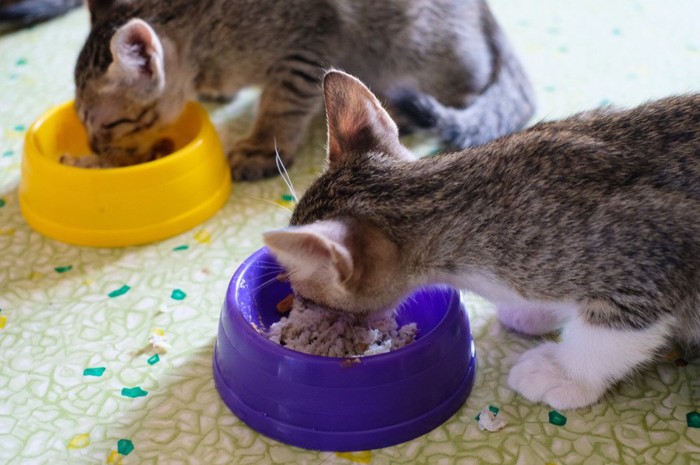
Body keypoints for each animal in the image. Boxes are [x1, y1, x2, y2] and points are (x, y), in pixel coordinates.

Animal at [71, 0, 532, 178]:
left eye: (108, 124)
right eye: (81, 123)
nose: (93, 147)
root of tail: (485, 12)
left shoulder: (306, 49)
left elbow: (281, 104)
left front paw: (261, 147)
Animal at [264, 70, 700, 410]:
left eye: (305, 290)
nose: (299, 304)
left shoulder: (651, 257)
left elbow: (608, 338)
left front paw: (564, 373)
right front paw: (538, 312)